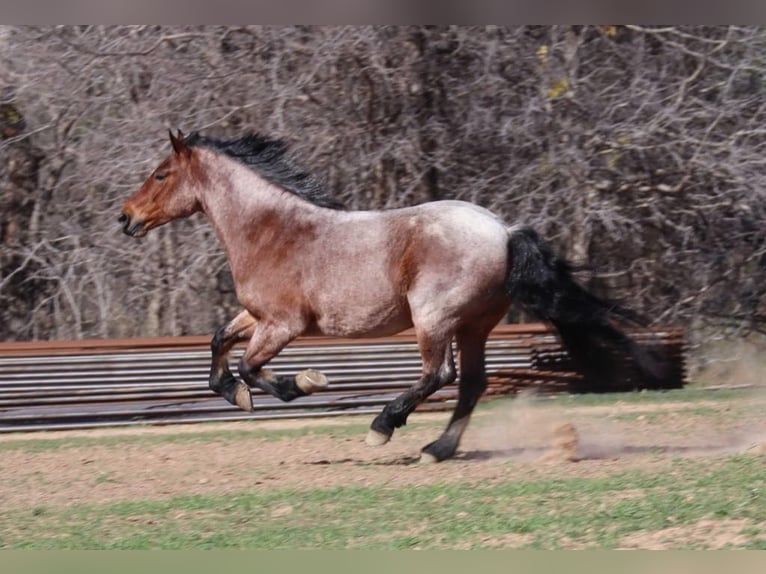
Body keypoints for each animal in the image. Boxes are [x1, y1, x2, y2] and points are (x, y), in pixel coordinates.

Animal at [117, 130, 668, 464]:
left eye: (162, 173)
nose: (125, 217)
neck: (271, 230)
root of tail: (504, 230)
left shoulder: (284, 324)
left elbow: (251, 367)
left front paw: (305, 383)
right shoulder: (256, 316)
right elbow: (218, 343)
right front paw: (235, 394)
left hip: (434, 318)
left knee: (439, 375)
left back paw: (384, 424)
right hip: (473, 325)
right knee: (471, 383)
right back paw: (437, 449)